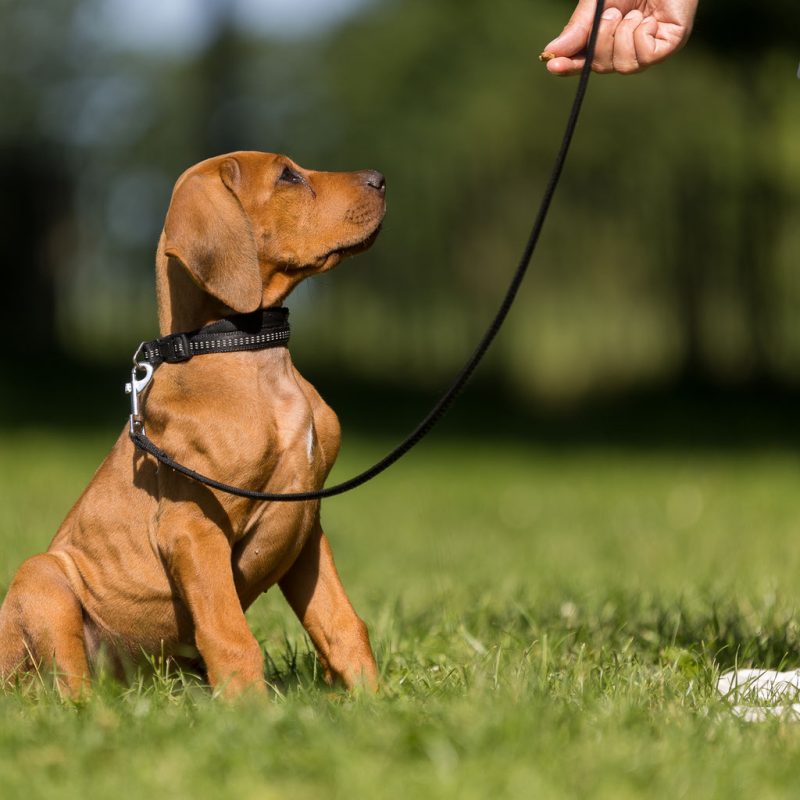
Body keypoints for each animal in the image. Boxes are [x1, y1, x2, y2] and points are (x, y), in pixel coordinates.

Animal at [0, 153, 388, 696]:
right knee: (70, 689)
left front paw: (376, 702)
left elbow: (343, 626)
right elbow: (231, 637)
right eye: (288, 176)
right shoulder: (192, 529)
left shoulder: (306, 525)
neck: (242, 348)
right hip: (43, 577)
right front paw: (252, 711)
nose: (381, 180)